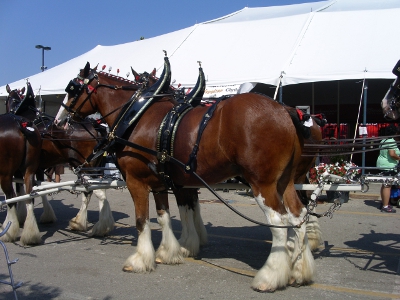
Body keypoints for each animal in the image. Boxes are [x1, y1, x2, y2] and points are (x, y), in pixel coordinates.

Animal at [5, 85, 115, 237]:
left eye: (7, 100)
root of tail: (94, 125)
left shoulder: (19, 169)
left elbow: (20, 191)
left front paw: (20, 216)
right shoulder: (37, 168)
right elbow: (38, 187)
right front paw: (46, 215)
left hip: (85, 167)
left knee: (94, 191)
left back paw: (96, 225)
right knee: (91, 191)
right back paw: (83, 222)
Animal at [54, 58, 314, 290]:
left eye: (71, 89)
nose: (59, 121)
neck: (139, 116)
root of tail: (283, 111)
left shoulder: (137, 181)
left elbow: (142, 219)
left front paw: (140, 260)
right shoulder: (163, 182)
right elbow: (165, 216)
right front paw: (170, 252)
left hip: (262, 183)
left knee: (278, 221)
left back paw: (270, 276)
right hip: (285, 182)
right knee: (298, 216)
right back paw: (299, 271)